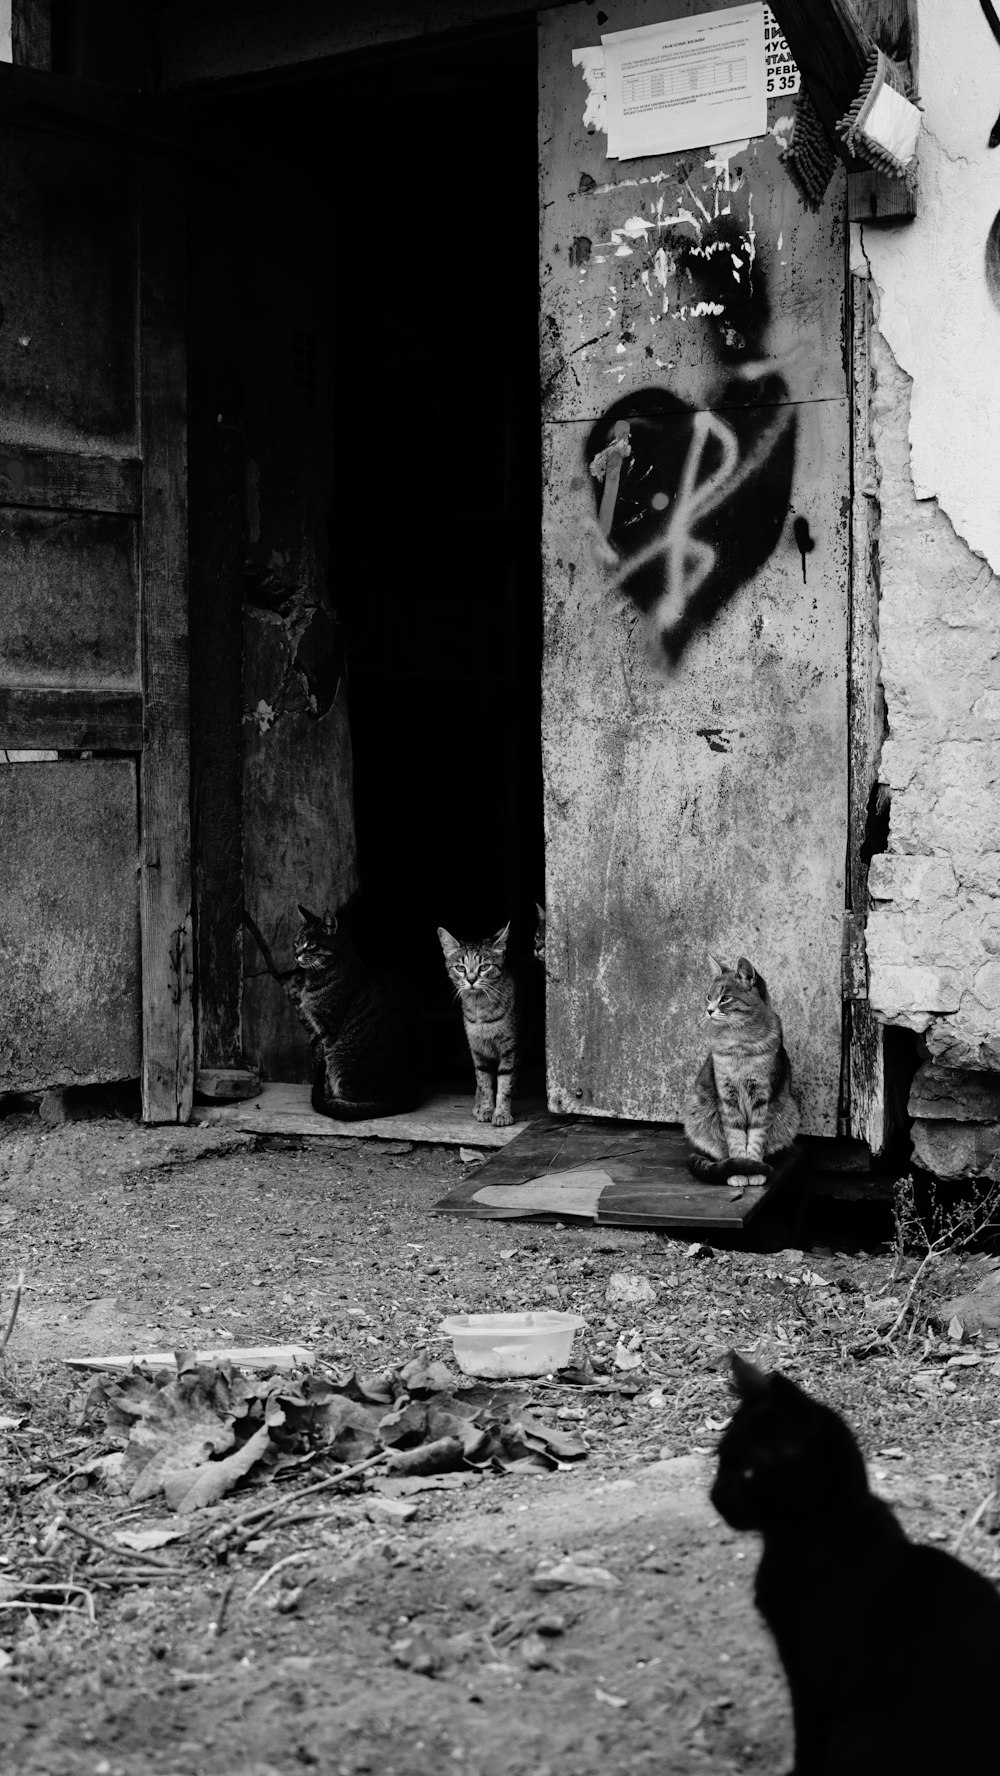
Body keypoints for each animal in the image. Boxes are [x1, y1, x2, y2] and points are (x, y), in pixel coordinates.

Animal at [438, 923, 522, 1129]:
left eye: (484, 966)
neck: (481, 1011)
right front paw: (485, 1109)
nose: (471, 979)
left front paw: (501, 1113)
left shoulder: (510, 1048)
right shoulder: (477, 1050)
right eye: (460, 967)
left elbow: (505, 1082)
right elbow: (484, 1082)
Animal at [685, 951, 802, 1186]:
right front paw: (739, 1171)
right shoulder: (727, 1096)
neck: (740, 1044)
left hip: (789, 1113)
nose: (708, 1011)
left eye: (725, 998)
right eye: (708, 996)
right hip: (698, 1113)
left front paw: (754, 1169)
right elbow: (735, 1137)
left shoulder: (764, 1097)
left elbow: (756, 1138)